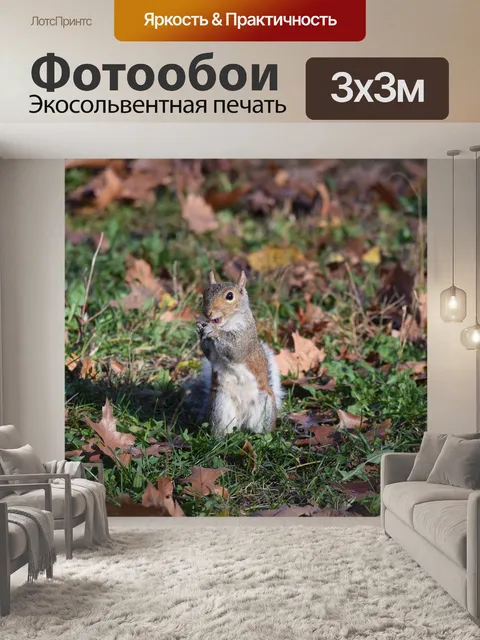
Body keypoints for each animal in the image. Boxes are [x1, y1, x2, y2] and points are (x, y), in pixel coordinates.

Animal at [191, 270, 283, 437]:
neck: (226, 324)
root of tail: (242, 422)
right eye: (205, 292)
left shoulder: (245, 337)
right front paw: (200, 329)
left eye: (229, 296)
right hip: (219, 405)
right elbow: (212, 356)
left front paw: (213, 331)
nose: (207, 313)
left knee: (261, 430)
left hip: (265, 406)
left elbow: (235, 350)